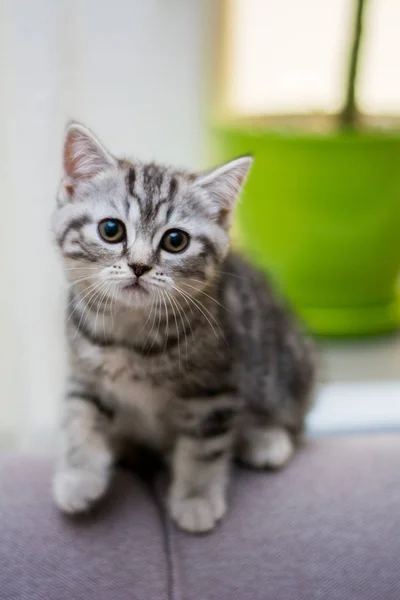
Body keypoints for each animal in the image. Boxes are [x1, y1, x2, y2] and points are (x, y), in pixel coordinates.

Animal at [51, 123, 314, 536]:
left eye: (176, 241)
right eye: (111, 230)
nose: (139, 265)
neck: (129, 336)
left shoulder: (214, 390)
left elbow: (203, 450)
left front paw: (195, 499)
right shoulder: (85, 373)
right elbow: (79, 416)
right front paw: (77, 478)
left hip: (283, 370)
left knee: (290, 418)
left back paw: (265, 439)